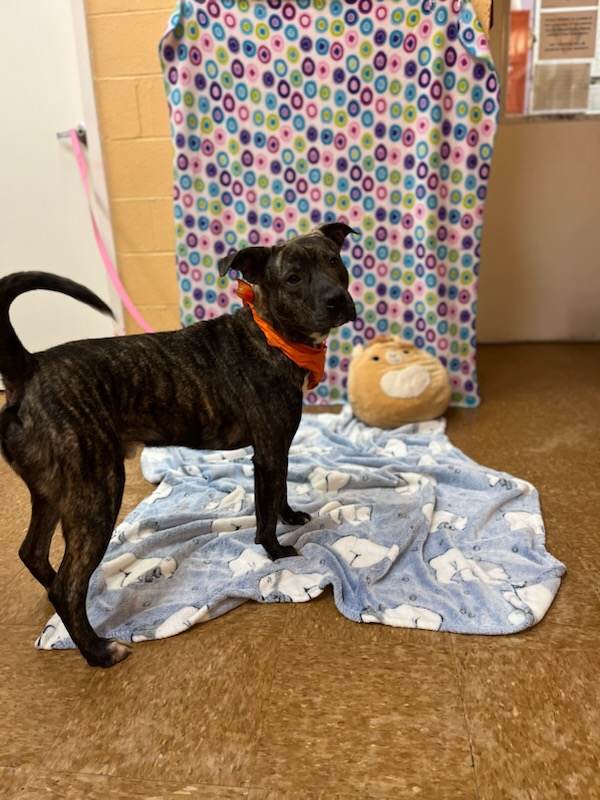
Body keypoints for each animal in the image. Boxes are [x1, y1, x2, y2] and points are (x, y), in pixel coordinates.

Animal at [0, 223, 356, 668]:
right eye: (293, 278)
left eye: (333, 261)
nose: (336, 299)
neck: (271, 334)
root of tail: (28, 368)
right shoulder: (268, 451)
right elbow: (264, 513)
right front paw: (276, 552)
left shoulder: (278, 448)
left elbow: (280, 493)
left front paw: (290, 515)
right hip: (96, 489)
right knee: (66, 585)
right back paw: (98, 651)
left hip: (53, 491)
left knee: (35, 555)